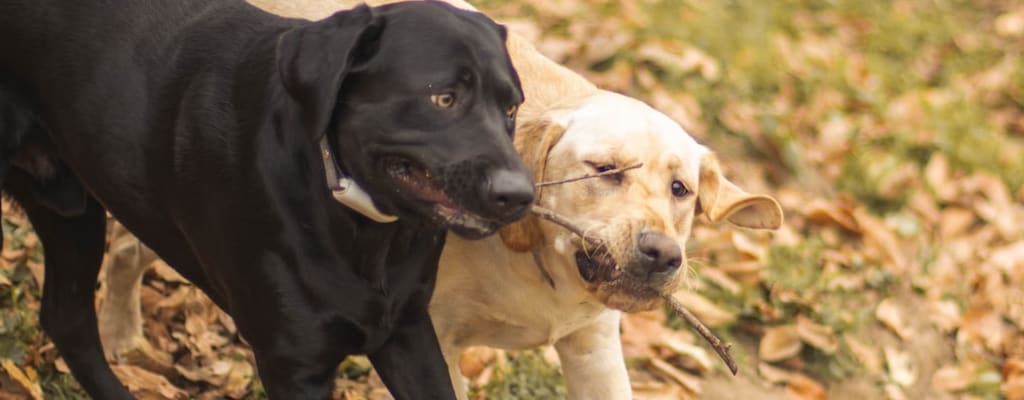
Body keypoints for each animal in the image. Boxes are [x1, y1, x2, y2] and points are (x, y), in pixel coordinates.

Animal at [0, 1, 532, 398]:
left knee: (67, 318)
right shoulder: (294, 362)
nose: (520, 195)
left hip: (69, 212)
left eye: (511, 109)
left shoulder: (407, 331)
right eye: (443, 98)